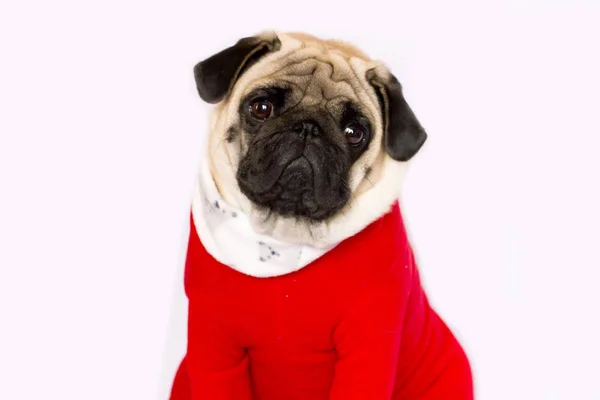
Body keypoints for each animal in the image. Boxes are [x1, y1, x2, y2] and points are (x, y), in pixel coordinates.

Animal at [170, 31, 474, 400]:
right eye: (261, 108)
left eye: (354, 132)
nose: (308, 128)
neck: (283, 237)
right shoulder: (213, 342)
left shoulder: (370, 341)